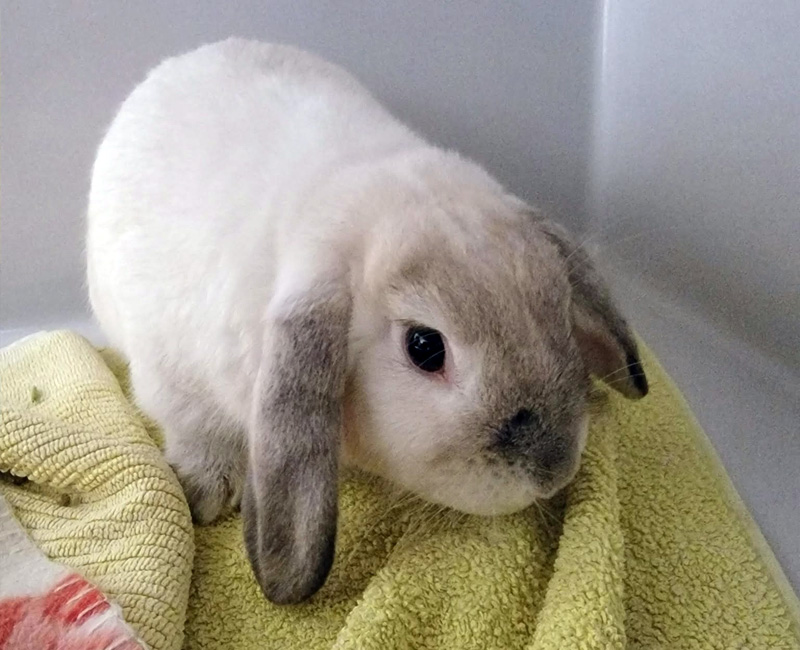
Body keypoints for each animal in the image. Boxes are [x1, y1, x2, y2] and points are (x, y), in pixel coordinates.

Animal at [86, 38, 647, 605]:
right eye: (424, 347)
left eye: (557, 306)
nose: (554, 469)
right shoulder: (174, 377)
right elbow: (194, 428)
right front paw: (207, 493)